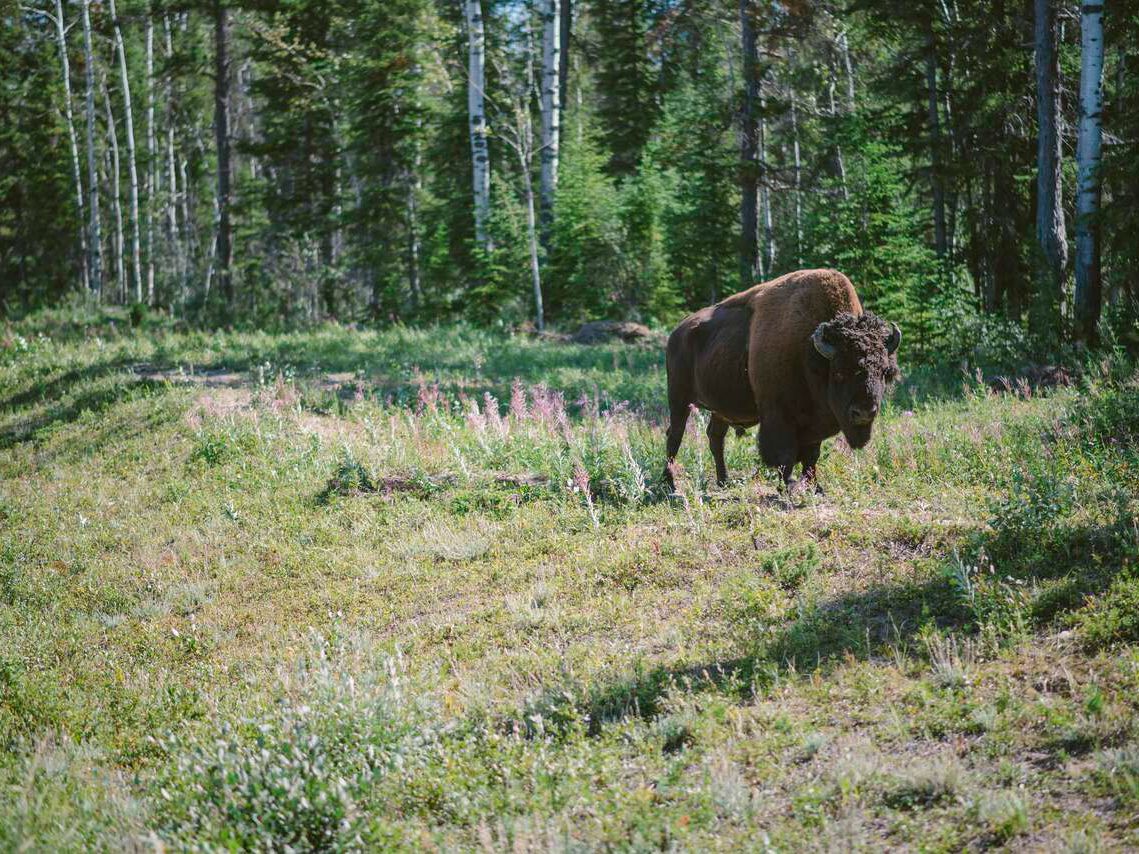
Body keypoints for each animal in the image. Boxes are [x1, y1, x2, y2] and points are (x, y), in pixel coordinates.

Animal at [663, 268, 900, 492]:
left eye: (884, 372)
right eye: (839, 372)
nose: (864, 412)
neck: (810, 354)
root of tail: (677, 332)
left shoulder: (813, 423)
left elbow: (811, 456)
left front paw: (815, 487)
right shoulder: (778, 416)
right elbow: (785, 455)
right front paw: (789, 485)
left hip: (719, 409)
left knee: (715, 437)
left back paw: (723, 481)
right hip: (679, 399)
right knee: (674, 436)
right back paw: (670, 485)